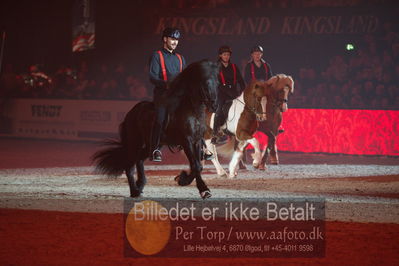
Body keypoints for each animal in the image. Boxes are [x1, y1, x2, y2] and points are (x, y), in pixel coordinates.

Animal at [92, 59, 220, 198]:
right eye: (205, 82)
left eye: (217, 82)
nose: (214, 105)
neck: (191, 110)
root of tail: (131, 112)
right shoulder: (187, 141)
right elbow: (196, 165)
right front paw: (187, 182)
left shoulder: (196, 141)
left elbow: (198, 165)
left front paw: (195, 185)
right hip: (134, 142)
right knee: (129, 165)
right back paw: (135, 191)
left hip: (152, 144)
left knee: (139, 159)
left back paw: (140, 184)